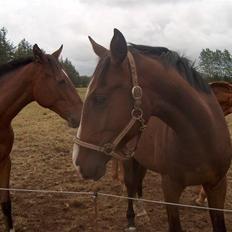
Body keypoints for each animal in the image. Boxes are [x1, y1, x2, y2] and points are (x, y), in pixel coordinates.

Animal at [73, 29, 232, 232]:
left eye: (100, 98)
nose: (77, 162)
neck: (202, 138)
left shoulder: (218, 186)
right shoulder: (170, 189)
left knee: (138, 184)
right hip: (129, 160)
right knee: (130, 186)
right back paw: (132, 219)